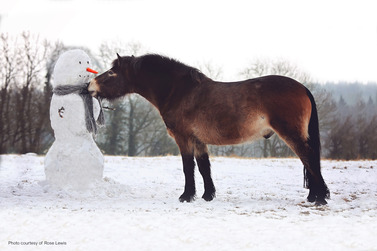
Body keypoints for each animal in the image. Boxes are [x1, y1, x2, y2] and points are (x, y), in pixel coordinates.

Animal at [88, 54, 328, 205]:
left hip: (292, 134)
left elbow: (188, 167)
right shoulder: (198, 140)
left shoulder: (184, 138)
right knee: (309, 160)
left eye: (112, 73)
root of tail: (303, 87)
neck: (179, 91)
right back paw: (314, 196)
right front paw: (207, 195)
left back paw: (320, 197)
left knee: (309, 159)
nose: (90, 85)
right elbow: (204, 167)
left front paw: (186, 196)